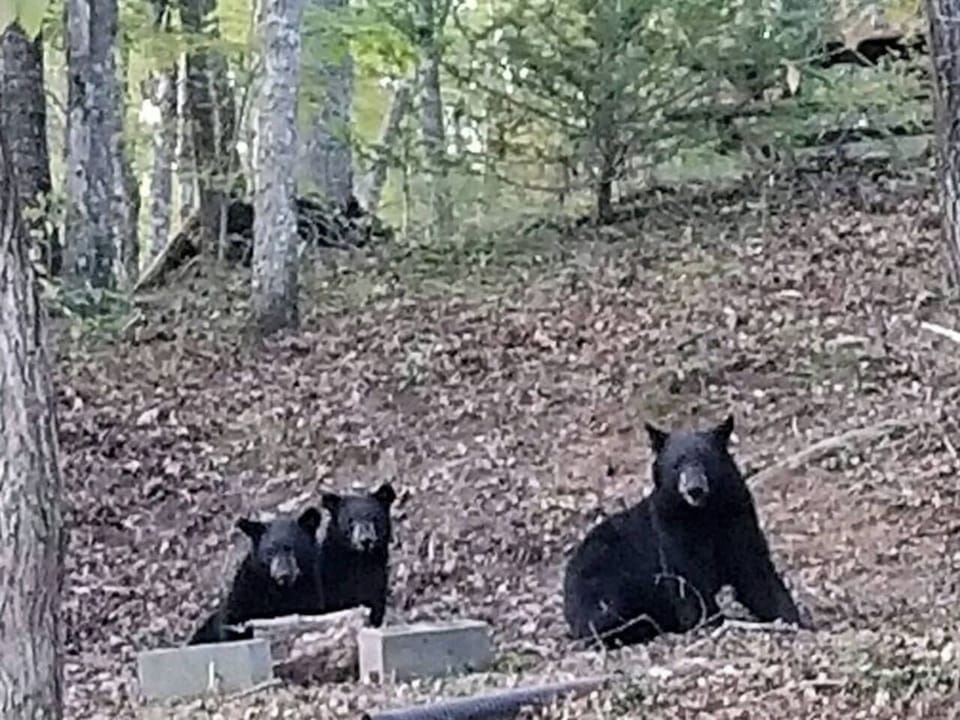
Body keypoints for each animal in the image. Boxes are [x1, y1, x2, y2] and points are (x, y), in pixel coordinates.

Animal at [187, 507, 325, 645]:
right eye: (270, 552)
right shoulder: (245, 598)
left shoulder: (308, 596)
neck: (280, 591)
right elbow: (233, 625)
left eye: (290, 548)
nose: (283, 574)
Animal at [562, 415, 808, 648]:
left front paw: (794, 621)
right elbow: (688, 581)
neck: (703, 513)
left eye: (705, 459)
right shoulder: (671, 529)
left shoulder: (738, 519)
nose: (694, 489)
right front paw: (711, 623)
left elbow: (755, 572)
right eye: (677, 464)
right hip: (606, 579)